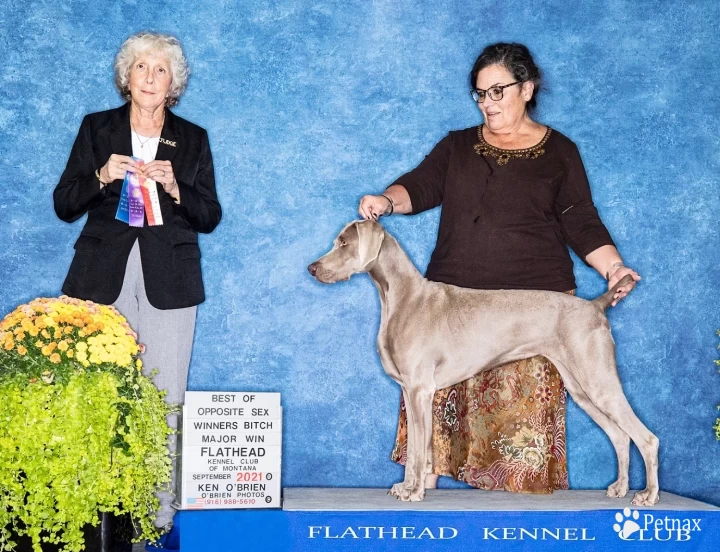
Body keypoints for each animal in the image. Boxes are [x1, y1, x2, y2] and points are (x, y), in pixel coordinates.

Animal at [308, 219, 660, 504]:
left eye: (344, 242)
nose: (312, 268)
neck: (402, 296)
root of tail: (596, 305)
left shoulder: (420, 390)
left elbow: (417, 451)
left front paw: (414, 492)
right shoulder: (412, 391)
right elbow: (417, 450)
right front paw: (406, 488)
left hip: (598, 381)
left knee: (646, 438)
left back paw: (647, 495)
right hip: (581, 388)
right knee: (620, 435)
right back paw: (619, 488)